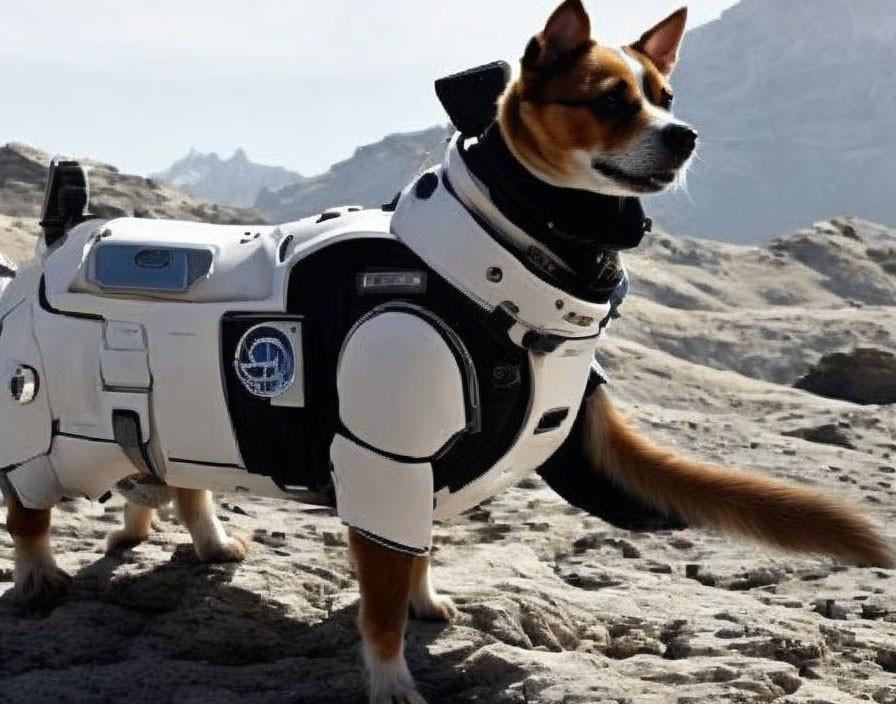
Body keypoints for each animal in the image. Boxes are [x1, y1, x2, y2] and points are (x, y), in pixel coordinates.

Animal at [3, 2, 892, 700]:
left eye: (666, 97)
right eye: (610, 101)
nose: (685, 135)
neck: (493, 271)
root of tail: (56, 235)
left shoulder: (425, 473)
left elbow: (416, 559)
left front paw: (428, 603)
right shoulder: (384, 460)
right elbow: (380, 598)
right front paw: (392, 680)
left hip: (186, 418)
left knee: (181, 481)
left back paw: (208, 540)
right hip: (48, 428)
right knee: (28, 507)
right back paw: (41, 575)